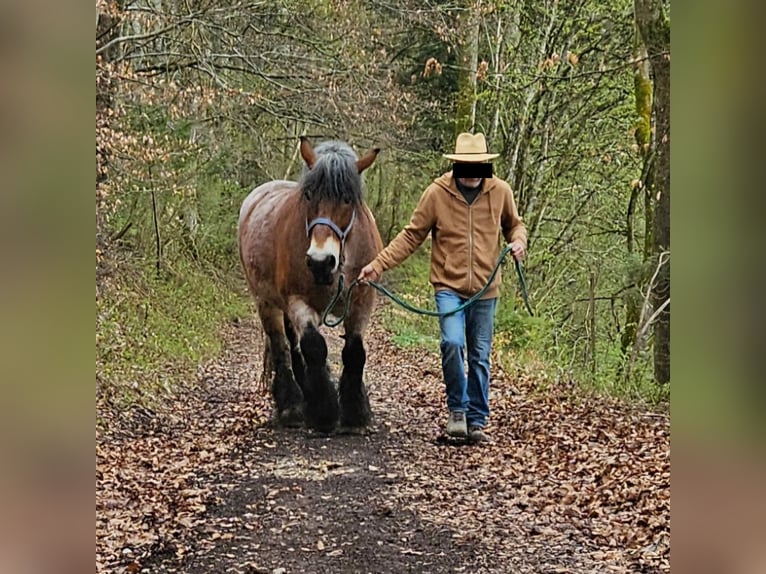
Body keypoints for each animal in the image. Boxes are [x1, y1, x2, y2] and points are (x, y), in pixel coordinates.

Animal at [238, 137, 383, 434]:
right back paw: (292, 406)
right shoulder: (298, 302)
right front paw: (324, 413)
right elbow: (315, 347)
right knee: (282, 347)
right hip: (266, 302)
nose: (320, 262)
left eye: (347, 199)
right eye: (308, 196)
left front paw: (355, 415)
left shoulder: (362, 301)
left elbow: (355, 352)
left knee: (293, 346)